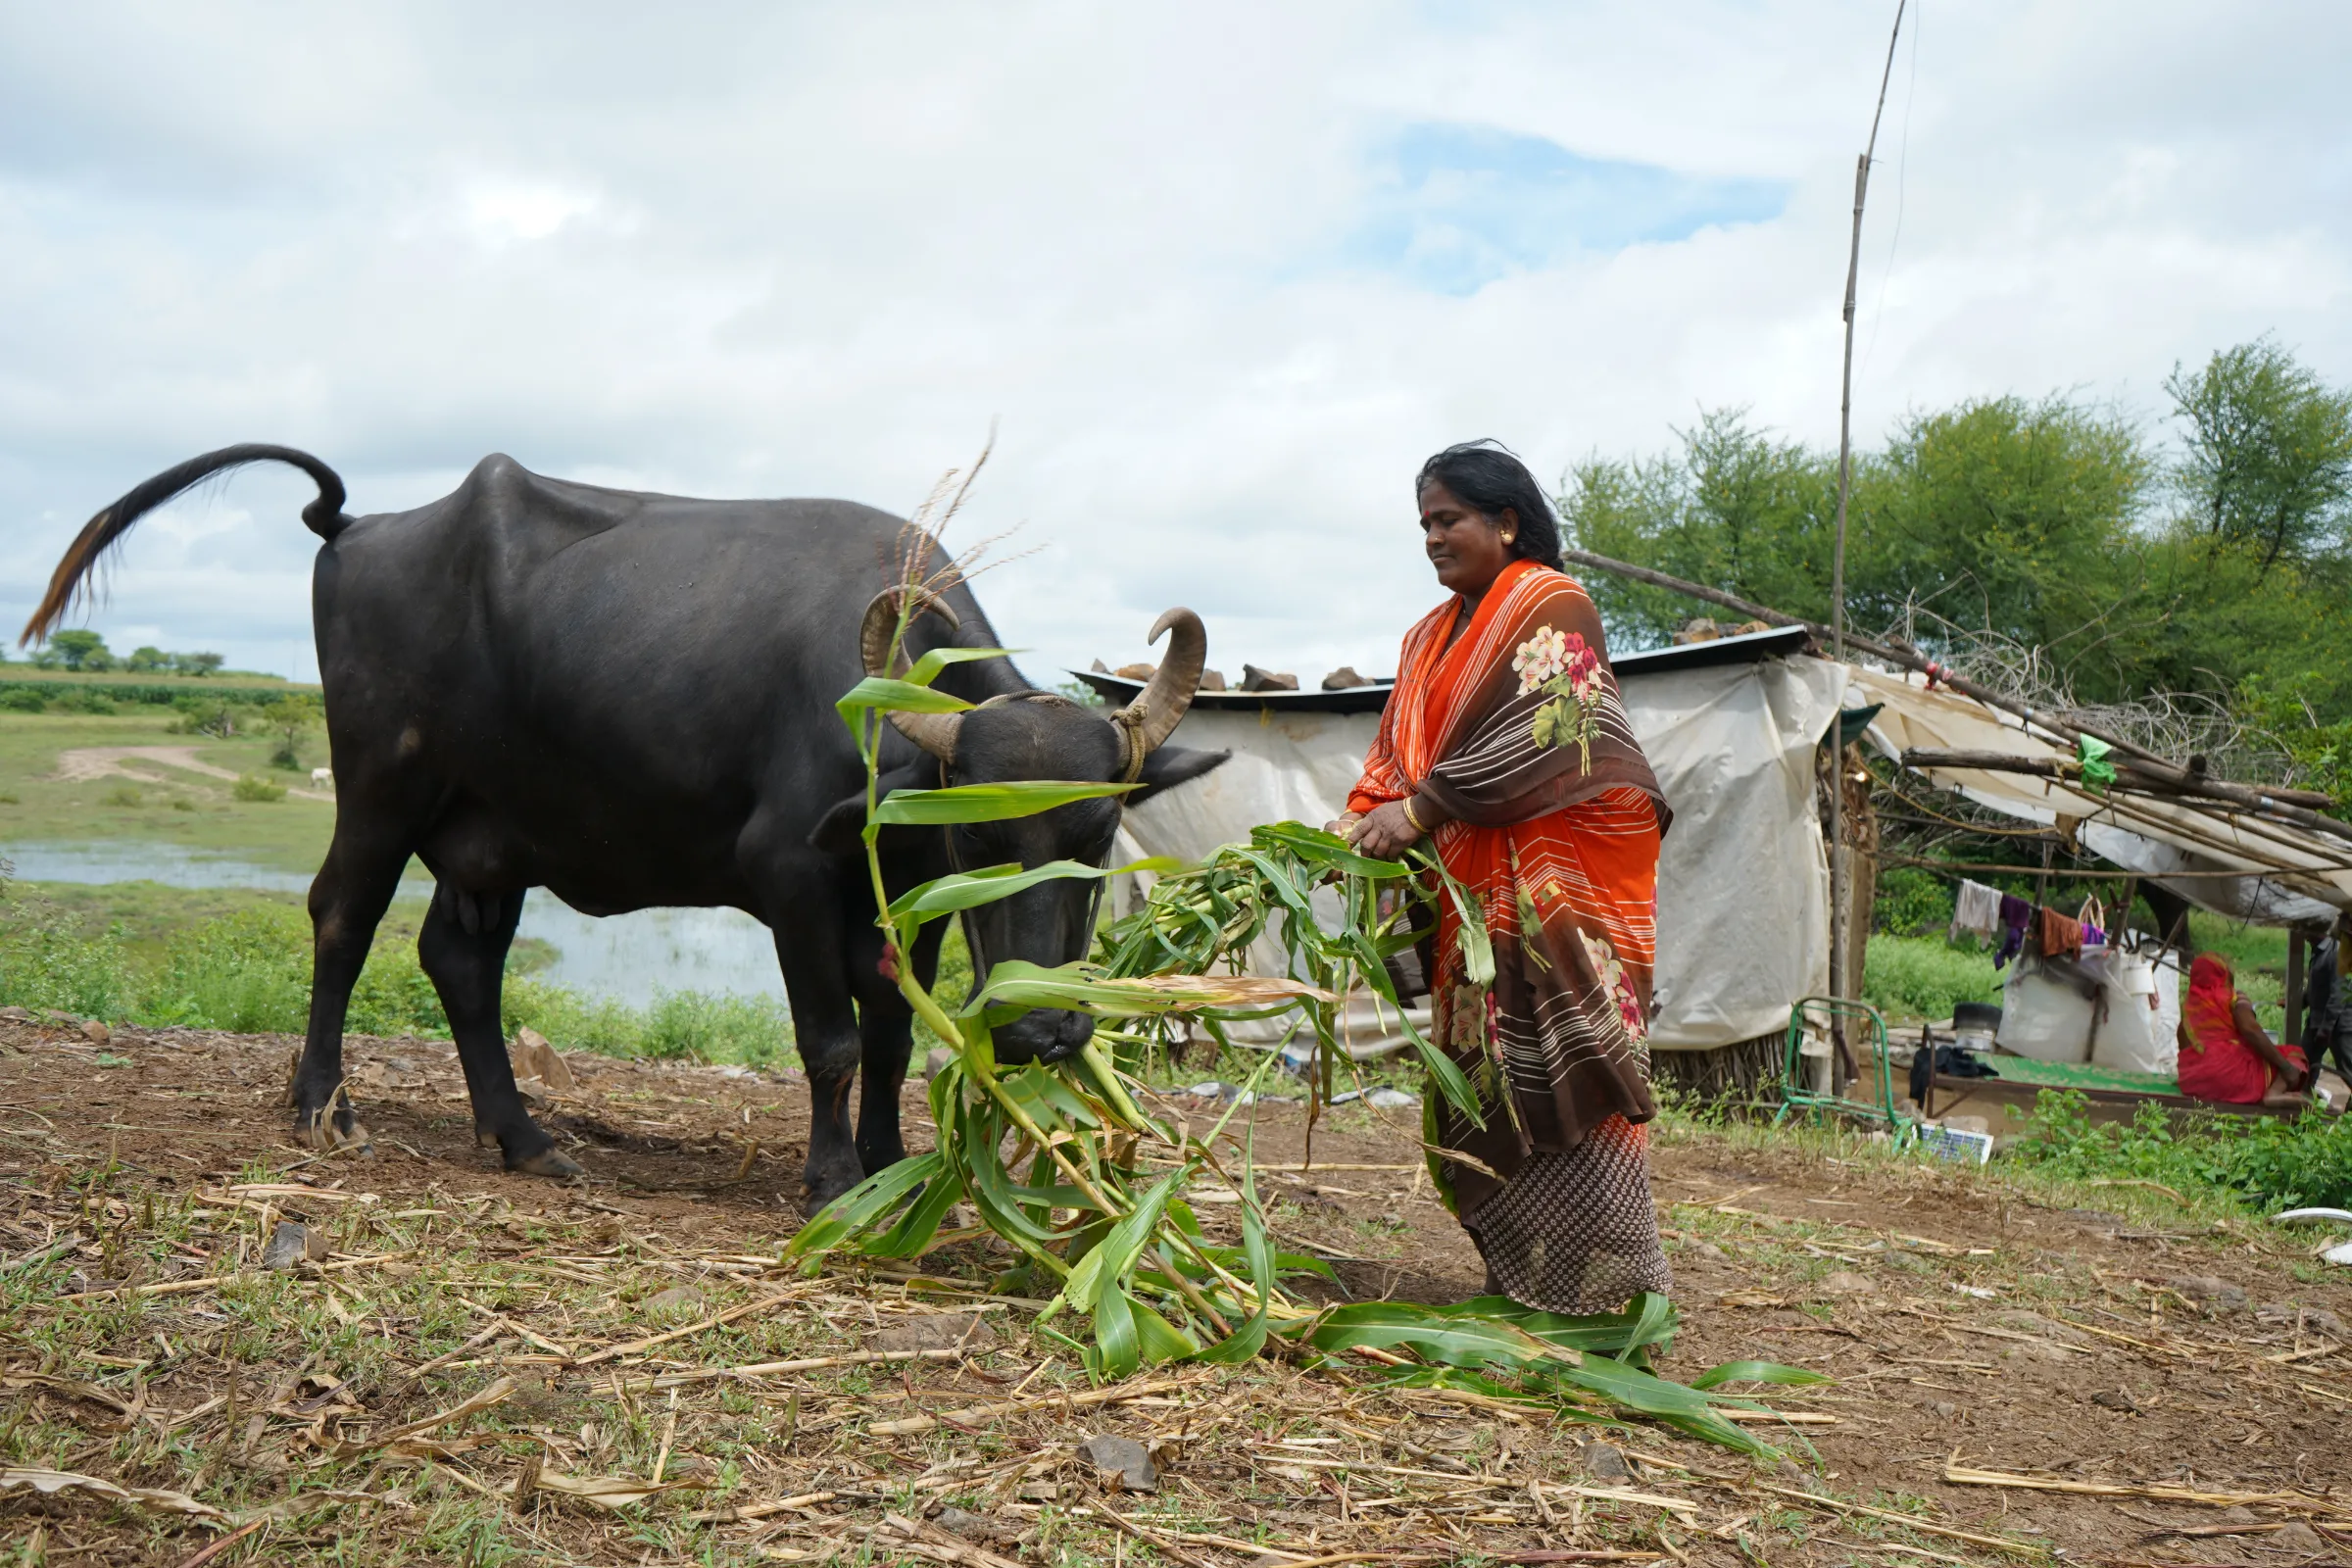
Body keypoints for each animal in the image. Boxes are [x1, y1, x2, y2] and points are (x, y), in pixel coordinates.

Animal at [27, 446, 1223, 1212]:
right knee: (343, 918)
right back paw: (323, 1104)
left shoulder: (908, 898)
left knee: (459, 960)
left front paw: (891, 1164)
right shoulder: (790, 876)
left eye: (1100, 835)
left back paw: (525, 1139)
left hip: (494, 837)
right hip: (382, 784)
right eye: (980, 839)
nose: (1040, 1033)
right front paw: (832, 1177)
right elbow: (830, 1039)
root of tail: (363, 527)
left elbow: (890, 1031)